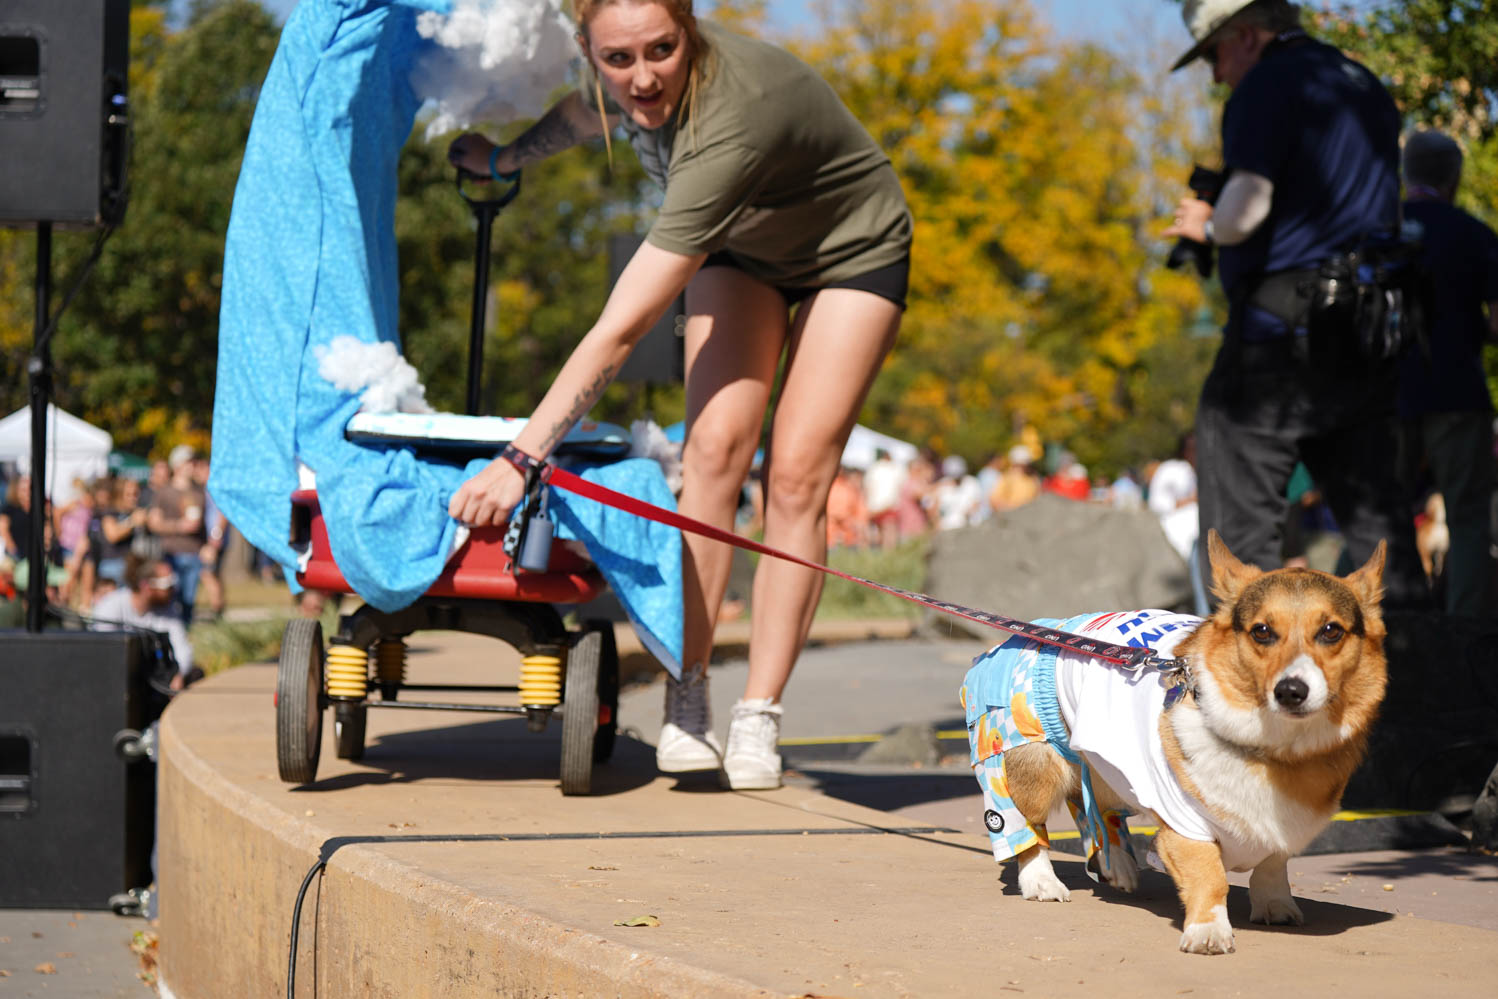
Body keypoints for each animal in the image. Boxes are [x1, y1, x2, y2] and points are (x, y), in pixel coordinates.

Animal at [964, 530, 1384, 952]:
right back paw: (1042, 881)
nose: (1291, 691)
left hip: (1105, 764)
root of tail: (1034, 630)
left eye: (1331, 630)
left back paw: (1116, 863)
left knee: (1089, 803)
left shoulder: (1280, 830)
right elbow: (1210, 876)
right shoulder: (1184, 824)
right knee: (1027, 824)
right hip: (1030, 761)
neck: (1276, 752)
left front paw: (1275, 904)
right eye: (1262, 631)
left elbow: (1272, 862)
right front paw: (1208, 931)